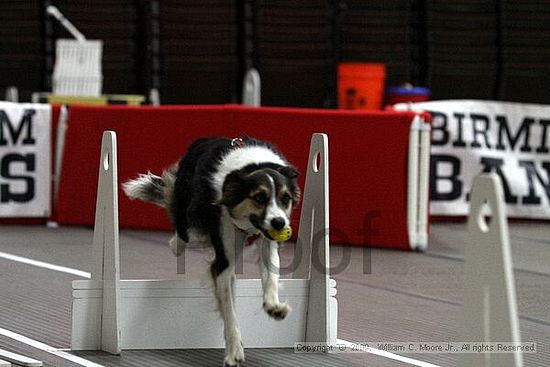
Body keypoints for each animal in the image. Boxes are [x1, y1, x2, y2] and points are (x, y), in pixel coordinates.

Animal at [123, 137, 302, 366]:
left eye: (285, 198)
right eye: (259, 198)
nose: (279, 223)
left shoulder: (267, 243)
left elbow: (270, 278)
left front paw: (274, 307)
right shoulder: (223, 261)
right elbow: (229, 310)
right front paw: (234, 351)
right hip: (187, 210)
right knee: (181, 233)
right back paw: (176, 243)